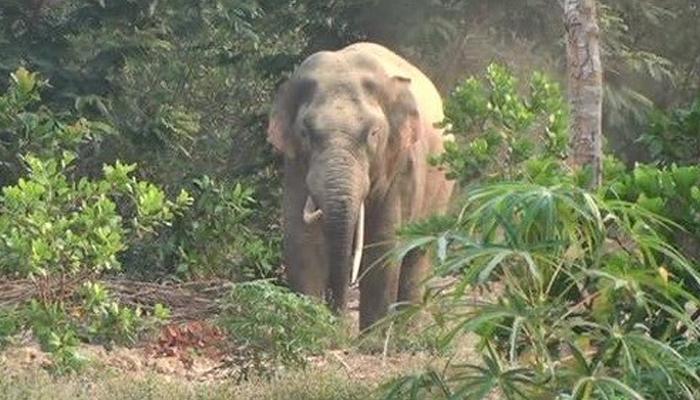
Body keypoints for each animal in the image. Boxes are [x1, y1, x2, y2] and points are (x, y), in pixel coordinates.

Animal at [266, 41, 454, 332]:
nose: (337, 316)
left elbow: (384, 242)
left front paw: (372, 338)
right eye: (305, 133)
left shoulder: (402, 164)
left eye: (374, 133)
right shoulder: (295, 164)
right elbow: (301, 239)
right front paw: (313, 330)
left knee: (419, 253)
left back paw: (408, 332)